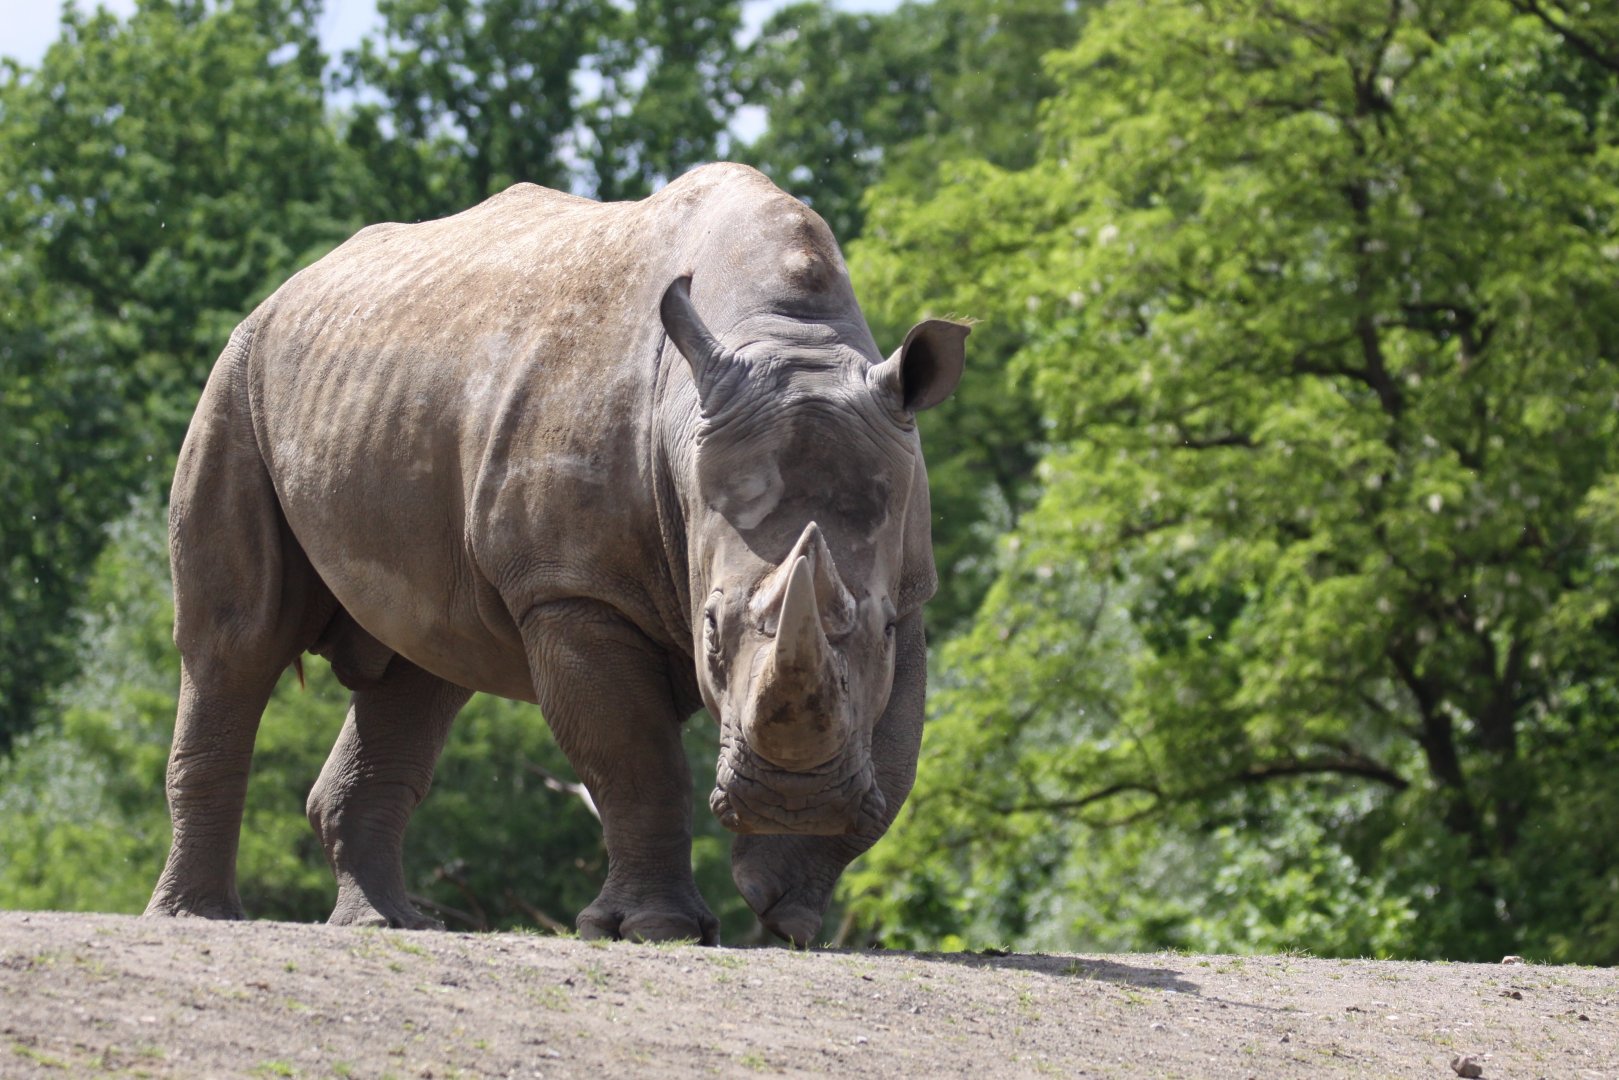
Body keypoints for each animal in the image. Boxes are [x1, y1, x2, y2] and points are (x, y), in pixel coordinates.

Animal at [143, 163, 966, 945]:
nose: (792, 800)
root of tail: (292, 286)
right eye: (708, 629)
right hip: (239, 373)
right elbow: (636, 760)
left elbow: (895, 756)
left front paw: (782, 899)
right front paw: (653, 929)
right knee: (236, 644)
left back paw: (386, 923)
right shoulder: (573, 589)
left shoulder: (910, 580)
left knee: (422, 665)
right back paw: (201, 917)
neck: (787, 338)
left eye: (882, 630)